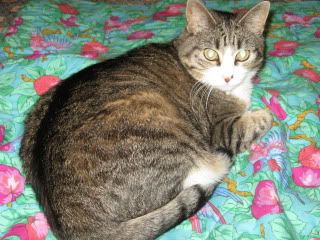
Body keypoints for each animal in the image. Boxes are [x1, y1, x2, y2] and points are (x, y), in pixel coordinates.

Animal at [20, 0, 272, 239]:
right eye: (210, 54)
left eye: (242, 55)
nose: (229, 77)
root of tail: (75, 225)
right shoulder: (221, 129)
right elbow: (255, 123)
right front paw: (265, 113)